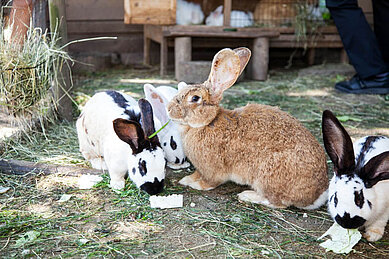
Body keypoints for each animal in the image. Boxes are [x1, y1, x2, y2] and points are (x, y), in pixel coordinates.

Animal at [167, 47, 328, 210]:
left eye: (195, 98)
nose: (169, 109)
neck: (208, 122)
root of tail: (317, 195)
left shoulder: (211, 170)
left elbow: (210, 182)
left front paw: (196, 185)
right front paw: (186, 179)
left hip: (267, 177)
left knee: (278, 202)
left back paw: (247, 195)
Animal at [320, 109, 388, 242]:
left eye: (359, 199)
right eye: (335, 198)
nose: (346, 223)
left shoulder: (385, 209)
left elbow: (379, 222)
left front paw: (372, 235)